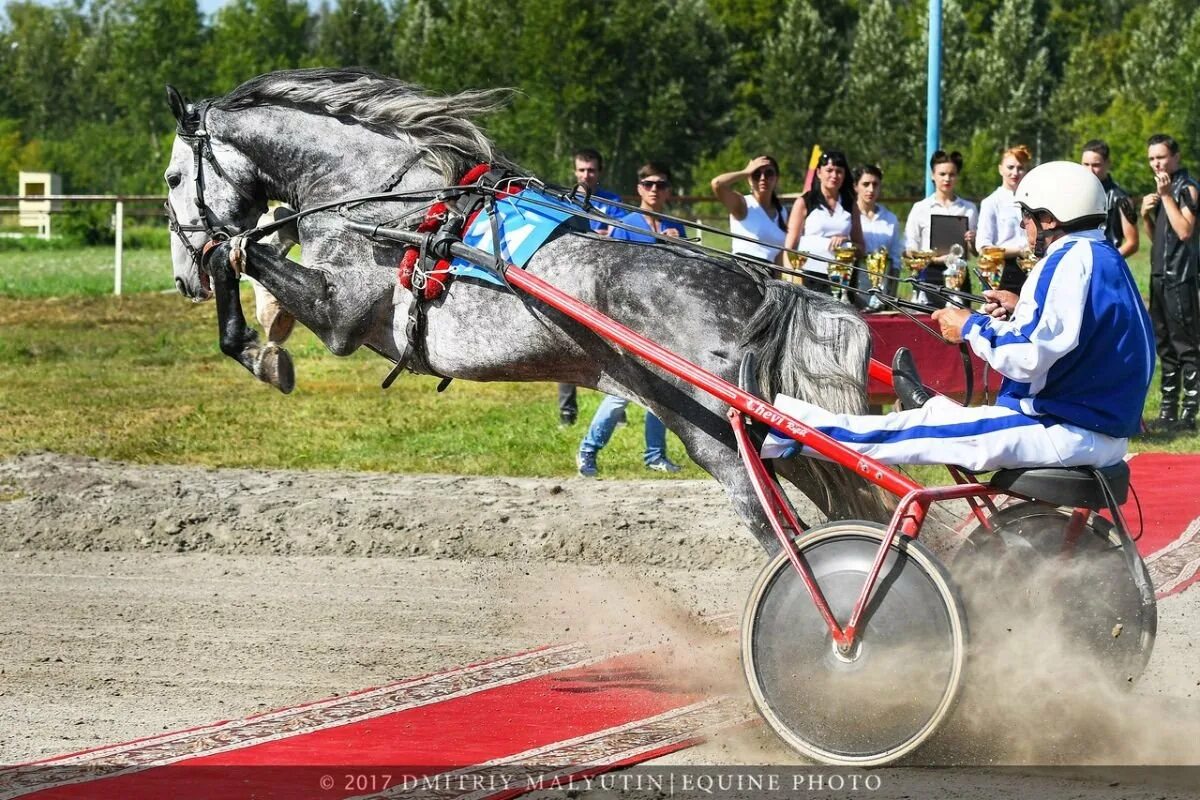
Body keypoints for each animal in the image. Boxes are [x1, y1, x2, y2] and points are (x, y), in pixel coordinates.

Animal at [162, 67, 892, 551]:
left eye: (171, 178)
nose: (180, 277)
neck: (387, 206)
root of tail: (754, 286)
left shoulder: (342, 312)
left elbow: (236, 254)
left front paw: (258, 349)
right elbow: (244, 256)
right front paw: (262, 335)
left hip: (720, 437)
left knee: (787, 533)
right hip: (769, 437)